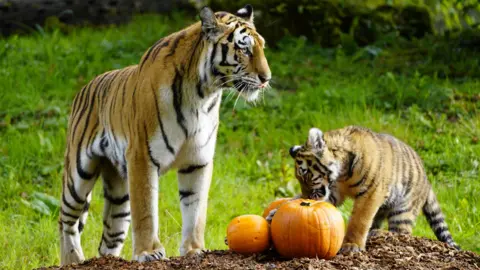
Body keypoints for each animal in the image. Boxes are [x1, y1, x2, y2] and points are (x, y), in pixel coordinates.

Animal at [59, 5, 270, 264]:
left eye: (261, 47)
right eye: (244, 48)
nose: (266, 78)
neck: (203, 93)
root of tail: (85, 87)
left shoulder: (198, 161)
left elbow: (196, 210)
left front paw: (194, 249)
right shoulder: (142, 157)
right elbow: (146, 211)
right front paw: (148, 252)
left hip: (119, 193)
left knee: (109, 236)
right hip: (78, 174)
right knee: (66, 220)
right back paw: (73, 259)